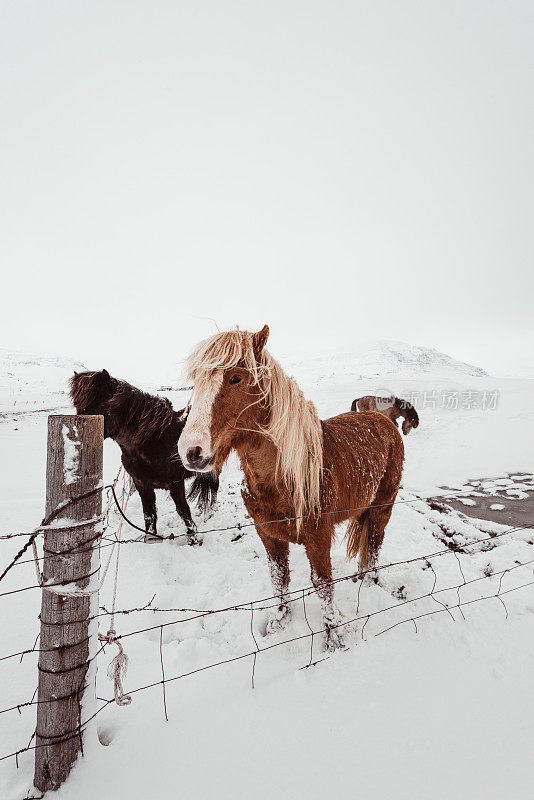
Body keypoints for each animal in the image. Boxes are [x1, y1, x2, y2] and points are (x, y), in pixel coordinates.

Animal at [70, 370, 219, 544]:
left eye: (98, 406)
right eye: (77, 406)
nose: (77, 439)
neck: (155, 440)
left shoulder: (175, 484)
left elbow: (183, 511)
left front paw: (193, 539)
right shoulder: (141, 484)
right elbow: (149, 513)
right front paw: (151, 538)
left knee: (214, 486)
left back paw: (210, 513)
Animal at [178, 324, 404, 648]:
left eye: (235, 377)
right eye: (196, 380)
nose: (191, 451)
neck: (284, 480)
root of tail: (382, 419)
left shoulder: (319, 538)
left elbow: (322, 583)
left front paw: (333, 635)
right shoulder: (268, 535)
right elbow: (279, 577)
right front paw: (279, 621)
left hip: (382, 508)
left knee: (374, 545)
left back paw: (371, 583)